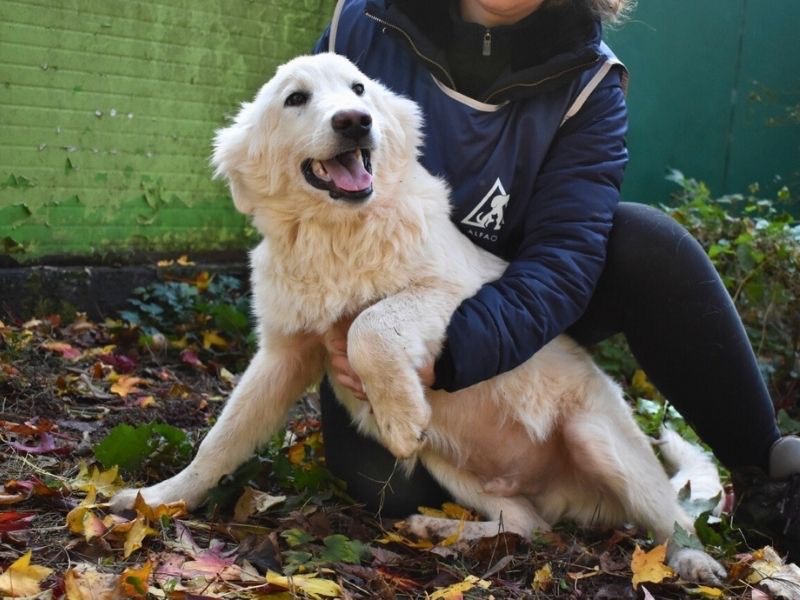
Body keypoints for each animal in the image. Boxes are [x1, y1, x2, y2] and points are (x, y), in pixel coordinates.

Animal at [111, 54, 724, 584]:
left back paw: (697, 562)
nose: (354, 122)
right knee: (529, 526)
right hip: (457, 467)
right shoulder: (285, 352)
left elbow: (371, 324)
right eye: (296, 99)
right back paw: (441, 529)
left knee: (674, 520)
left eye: (359, 89)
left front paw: (398, 415)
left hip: (598, 439)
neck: (338, 234)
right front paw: (159, 499)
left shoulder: (456, 295)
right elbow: (221, 438)